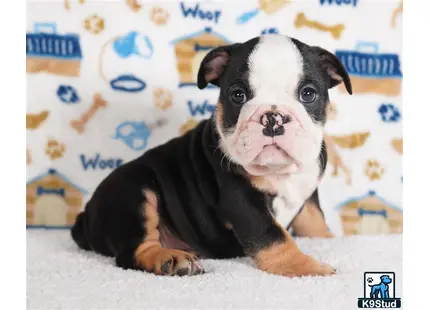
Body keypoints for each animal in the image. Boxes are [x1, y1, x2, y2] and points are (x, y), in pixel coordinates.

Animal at [71, 35, 352, 278]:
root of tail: (84, 219)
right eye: (238, 95)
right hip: (134, 191)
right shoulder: (241, 200)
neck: (280, 171)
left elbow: (313, 217)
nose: (272, 117)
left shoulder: (309, 190)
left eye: (308, 94)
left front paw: (327, 237)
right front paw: (306, 267)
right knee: (133, 251)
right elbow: (273, 235)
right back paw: (170, 259)